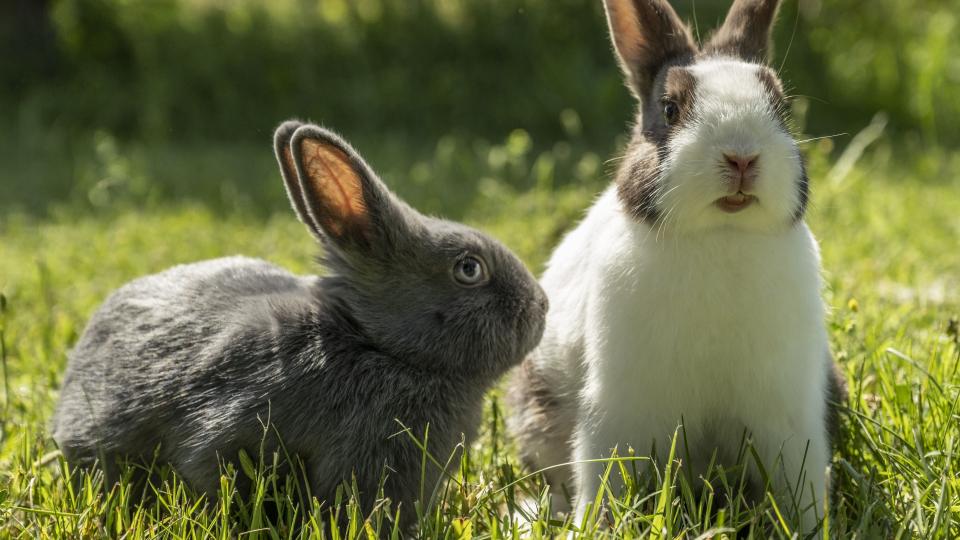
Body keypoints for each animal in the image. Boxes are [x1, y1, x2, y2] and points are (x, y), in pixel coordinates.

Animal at [507, 0, 846, 533]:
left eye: (782, 108)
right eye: (670, 109)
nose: (742, 157)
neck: (720, 236)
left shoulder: (787, 410)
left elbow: (799, 476)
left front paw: (808, 527)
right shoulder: (618, 408)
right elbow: (604, 475)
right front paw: (600, 526)